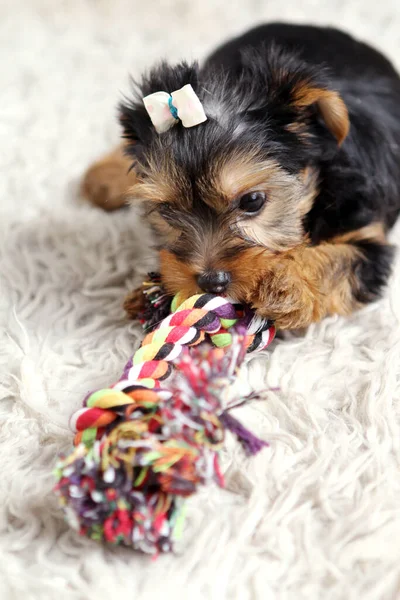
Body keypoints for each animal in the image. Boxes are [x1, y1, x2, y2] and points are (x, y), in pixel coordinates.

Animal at [82, 23, 400, 330]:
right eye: (167, 210)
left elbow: (339, 260)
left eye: (252, 201)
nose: (212, 282)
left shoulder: (368, 239)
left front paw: (285, 285)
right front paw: (149, 293)